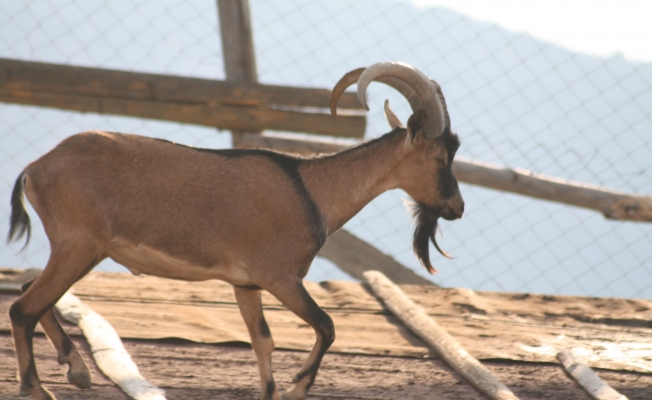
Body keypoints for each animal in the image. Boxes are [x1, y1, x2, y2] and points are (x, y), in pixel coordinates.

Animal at [5, 61, 464, 398]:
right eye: (440, 158)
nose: (456, 208)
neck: (312, 191)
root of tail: (34, 169)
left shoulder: (245, 284)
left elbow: (263, 340)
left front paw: (272, 391)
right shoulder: (280, 277)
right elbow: (326, 326)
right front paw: (297, 387)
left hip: (77, 249)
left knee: (31, 291)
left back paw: (77, 369)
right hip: (80, 246)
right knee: (23, 307)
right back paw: (37, 388)